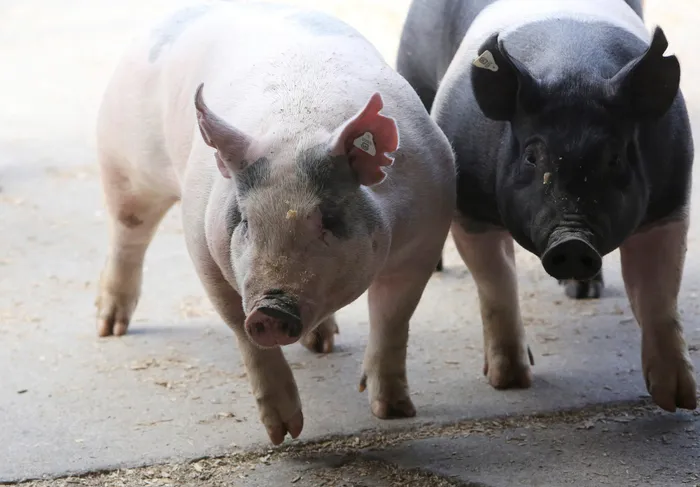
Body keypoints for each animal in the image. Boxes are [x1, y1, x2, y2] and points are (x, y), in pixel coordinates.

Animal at [94, 2, 456, 445]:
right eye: (245, 220)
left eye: (328, 218)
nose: (269, 309)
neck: (298, 128)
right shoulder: (203, 247)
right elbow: (241, 329)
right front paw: (284, 435)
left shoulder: (426, 236)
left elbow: (392, 321)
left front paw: (395, 412)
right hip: (122, 160)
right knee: (127, 233)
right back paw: (109, 329)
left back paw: (322, 344)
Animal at [396, 0, 697, 412]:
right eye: (532, 157)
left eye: (615, 158)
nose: (571, 241)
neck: (574, 70)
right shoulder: (471, 208)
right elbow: (497, 284)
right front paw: (510, 382)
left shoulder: (669, 201)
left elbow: (659, 297)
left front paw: (680, 400)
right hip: (414, 75)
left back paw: (585, 293)